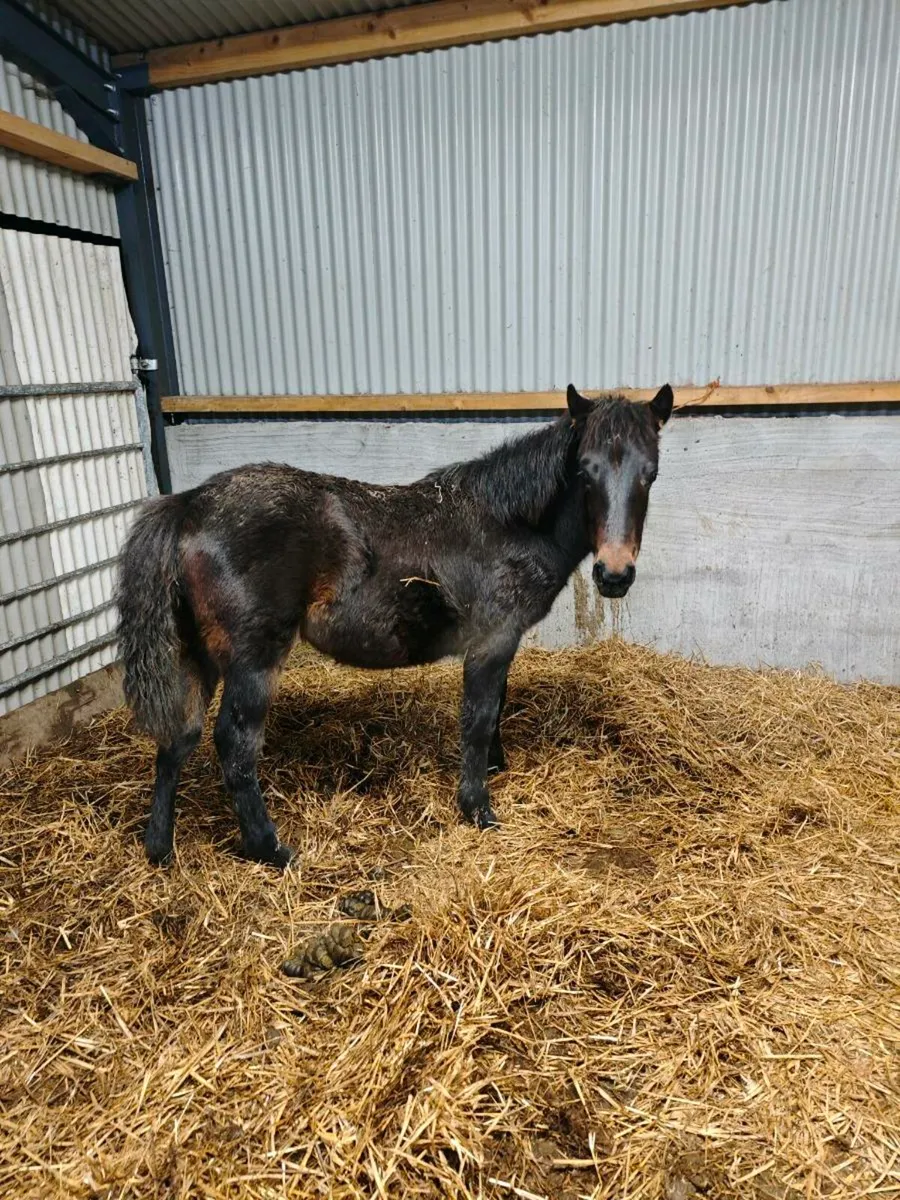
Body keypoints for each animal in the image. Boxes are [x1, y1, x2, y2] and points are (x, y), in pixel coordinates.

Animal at [117, 383, 673, 868]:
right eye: (585, 471)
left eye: (651, 473)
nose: (614, 575)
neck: (508, 524)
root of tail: (189, 504)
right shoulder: (491, 640)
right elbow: (477, 718)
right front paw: (478, 809)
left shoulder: (503, 642)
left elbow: (495, 707)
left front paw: (497, 765)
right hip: (253, 659)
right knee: (234, 744)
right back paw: (270, 849)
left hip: (201, 654)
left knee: (179, 736)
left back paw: (160, 849)